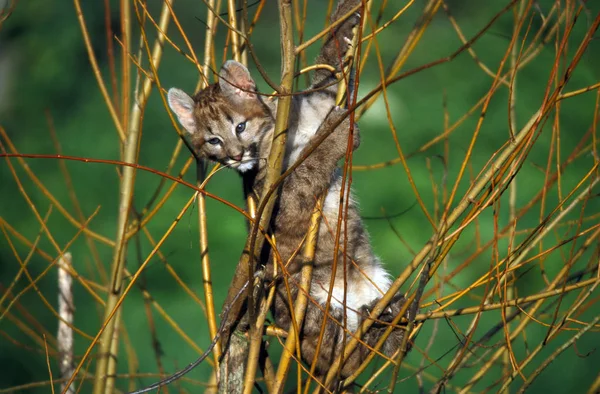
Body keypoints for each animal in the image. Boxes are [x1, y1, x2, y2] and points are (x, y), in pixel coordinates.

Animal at [166, 0, 406, 378]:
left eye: (240, 127)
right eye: (213, 141)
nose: (235, 156)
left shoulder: (320, 98)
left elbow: (332, 66)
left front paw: (346, 18)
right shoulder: (279, 197)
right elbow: (307, 167)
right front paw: (338, 134)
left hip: (376, 281)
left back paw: (392, 320)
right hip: (295, 301)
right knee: (333, 359)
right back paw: (367, 330)